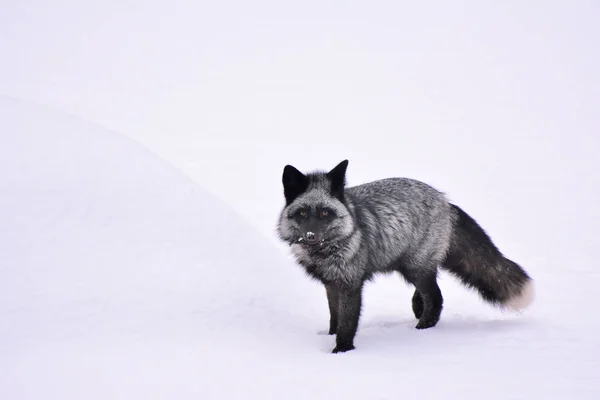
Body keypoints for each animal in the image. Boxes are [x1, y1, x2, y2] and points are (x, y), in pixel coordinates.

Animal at [276, 159, 536, 354]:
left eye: (324, 213)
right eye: (302, 213)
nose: (311, 235)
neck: (326, 251)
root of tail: (445, 200)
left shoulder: (350, 284)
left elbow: (347, 324)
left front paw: (341, 351)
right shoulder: (331, 283)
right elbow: (334, 318)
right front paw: (329, 337)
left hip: (416, 268)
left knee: (436, 298)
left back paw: (422, 330)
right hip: (415, 267)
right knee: (428, 294)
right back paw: (418, 311)